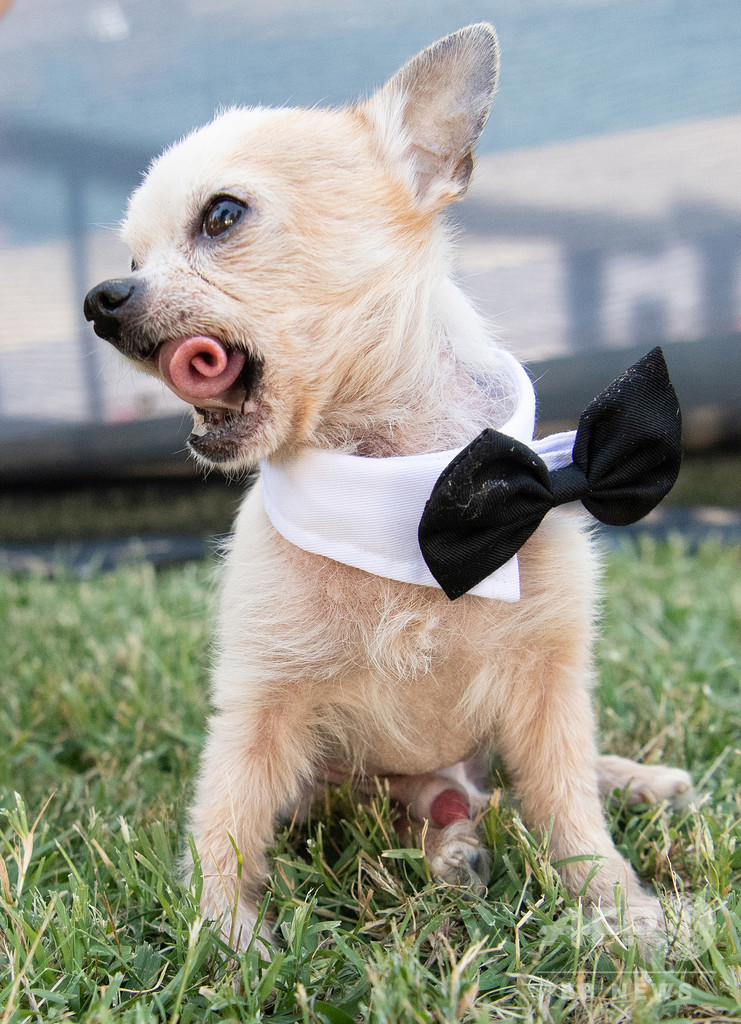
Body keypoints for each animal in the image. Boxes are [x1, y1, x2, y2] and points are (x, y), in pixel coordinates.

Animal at [86, 25, 695, 950]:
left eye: (221, 215)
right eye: (130, 256)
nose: (101, 299)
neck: (421, 503)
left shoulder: (546, 686)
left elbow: (568, 809)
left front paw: (617, 908)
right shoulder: (259, 708)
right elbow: (226, 817)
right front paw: (225, 933)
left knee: (548, 775)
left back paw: (635, 782)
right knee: (442, 800)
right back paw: (451, 842)